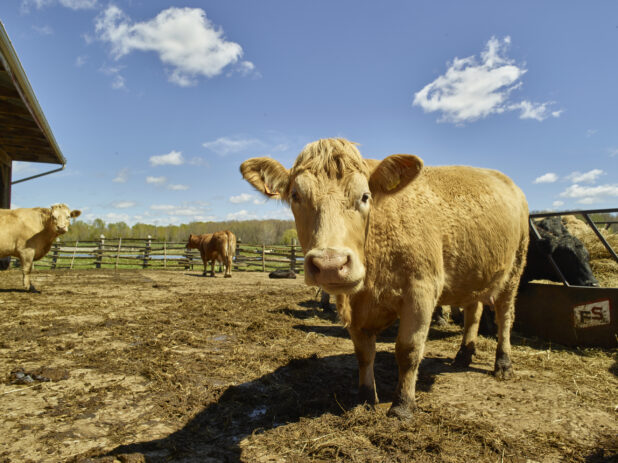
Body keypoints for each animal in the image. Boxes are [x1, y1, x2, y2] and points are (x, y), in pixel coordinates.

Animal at [238, 138, 528, 420]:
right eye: (296, 195)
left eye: (365, 196)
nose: (331, 264)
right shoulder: (355, 307)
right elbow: (364, 353)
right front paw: (366, 398)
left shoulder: (421, 291)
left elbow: (408, 350)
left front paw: (402, 405)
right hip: (474, 275)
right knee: (473, 312)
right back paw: (464, 354)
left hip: (515, 269)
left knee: (505, 317)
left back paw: (503, 363)